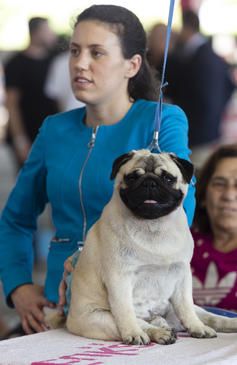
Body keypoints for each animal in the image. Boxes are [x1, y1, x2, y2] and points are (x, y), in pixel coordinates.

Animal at [47, 149, 237, 344]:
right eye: (132, 177)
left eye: (168, 178)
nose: (150, 182)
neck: (153, 226)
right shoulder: (119, 278)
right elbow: (125, 311)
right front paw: (134, 333)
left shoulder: (182, 275)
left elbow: (186, 308)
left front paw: (197, 327)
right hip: (99, 318)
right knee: (138, 322)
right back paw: (157, 332)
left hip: (178, 308)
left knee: (209, 316)